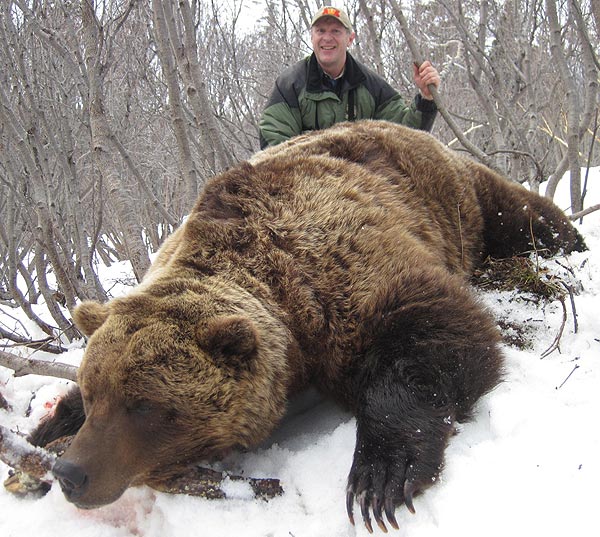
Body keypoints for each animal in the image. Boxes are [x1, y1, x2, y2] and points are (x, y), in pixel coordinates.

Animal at [29, 120, 584, 532]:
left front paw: (379, 477)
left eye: (143, 406)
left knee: (526, 216)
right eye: (94, 393)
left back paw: (566, 243)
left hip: (461, 196)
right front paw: (49, 426)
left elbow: (438, 331)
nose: (71, 473)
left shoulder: (346, 265)